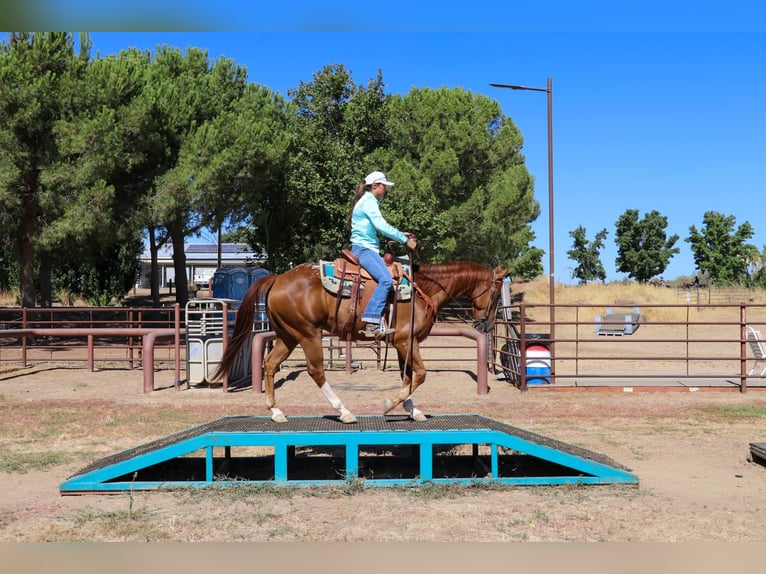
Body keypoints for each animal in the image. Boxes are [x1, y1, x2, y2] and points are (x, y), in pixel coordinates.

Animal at [212, 260, 509, 423]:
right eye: (496, 293)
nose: (486, 326)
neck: (423, 290)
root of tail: (276, 278)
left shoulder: (402, 344)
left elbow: (408, 376)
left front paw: (412, 409)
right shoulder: (406, 342)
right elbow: (420, 374)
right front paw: (390, 404)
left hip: (288, 336)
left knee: (270, 365)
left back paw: (276, 411)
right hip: (308, 334)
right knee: (316, 371)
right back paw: (343, 411)